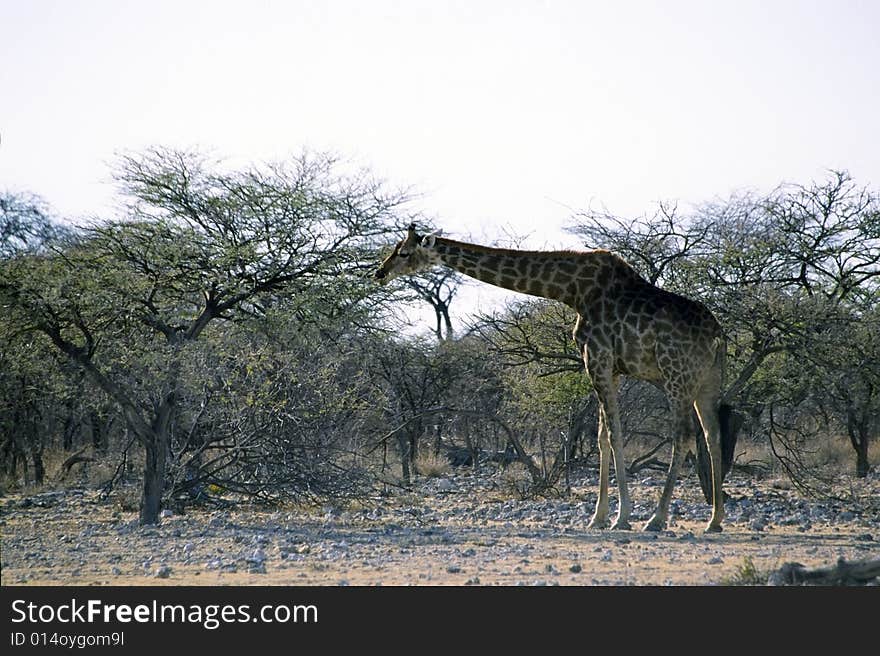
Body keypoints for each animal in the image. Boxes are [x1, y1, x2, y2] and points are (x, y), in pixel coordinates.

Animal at [374, 224, 740, 532]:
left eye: (403, 252)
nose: (379, 272)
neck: (571, 291)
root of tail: (717, 335)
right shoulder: (611, 368)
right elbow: (602, 437)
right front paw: (598, 517)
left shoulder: (598, 358)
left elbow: (613, 434)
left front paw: (621, 517)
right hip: (707, 382)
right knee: (713, 434)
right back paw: (715, 520)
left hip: (677, 377)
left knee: (684, 436)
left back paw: (657, 518)